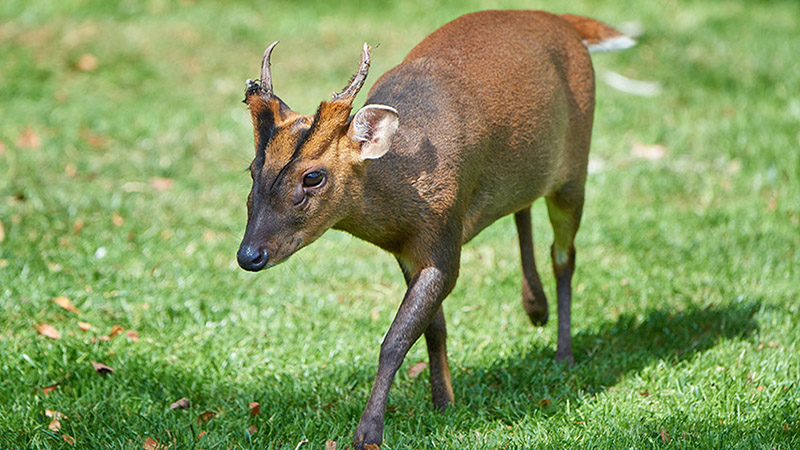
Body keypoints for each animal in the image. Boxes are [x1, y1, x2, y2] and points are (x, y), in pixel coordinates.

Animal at [234, 8, 636, 448]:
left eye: (312, 177)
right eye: (252, 169)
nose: (249, 254)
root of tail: (562, 20)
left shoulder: (443, 240)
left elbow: (395, 339)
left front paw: (369, 432)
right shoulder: (408, 252)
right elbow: (433, 328)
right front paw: (444, 402)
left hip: (574, 169)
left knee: (564, 255)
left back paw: (563, 353)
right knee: (523, 207)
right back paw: (535, 307)